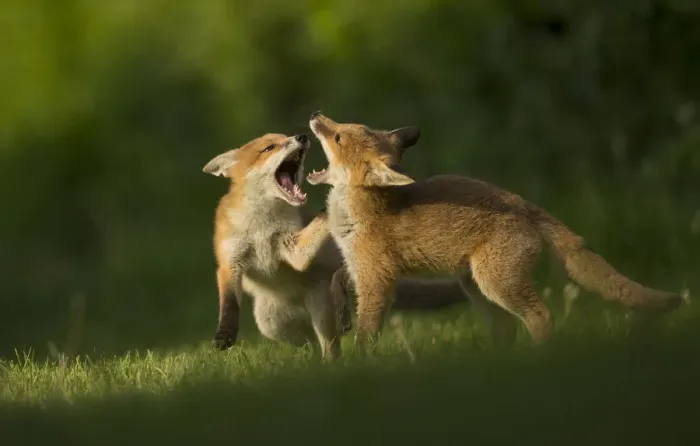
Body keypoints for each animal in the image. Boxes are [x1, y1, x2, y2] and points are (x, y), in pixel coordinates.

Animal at [202, 132, 467, 359]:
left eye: (285, 137)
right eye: (269, 148)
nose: (301, 136)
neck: (262, 227)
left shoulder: (293, 249)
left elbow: (316, 227)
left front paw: (332, 201)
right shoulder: (229, 262)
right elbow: (229, 304)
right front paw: (224, 335)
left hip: (320, 310)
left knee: (329, 344)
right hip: (270, 323)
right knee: (306, 340)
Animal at [306, 111, 682, 348]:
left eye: (337, 136)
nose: (316, 114)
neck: (356, 214)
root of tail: (523, 203)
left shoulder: (378, 277)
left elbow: (368, 329)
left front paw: (361, 361)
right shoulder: (357, 265)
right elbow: (338, 281)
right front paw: (341, 316)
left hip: (495, 283)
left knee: (541, 317)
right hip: (475, 285)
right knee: (508, 328)